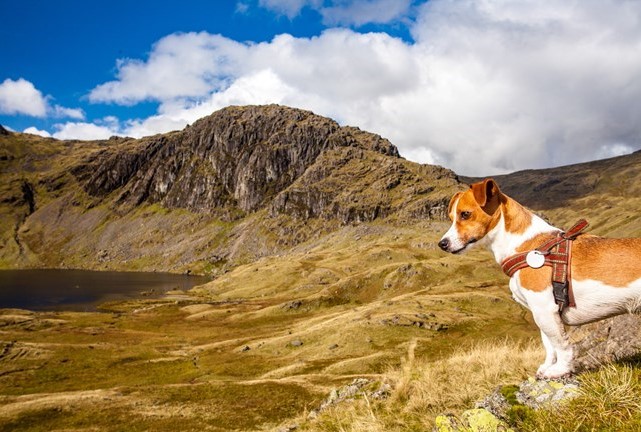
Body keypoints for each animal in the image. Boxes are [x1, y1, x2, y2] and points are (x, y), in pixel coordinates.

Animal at [438, 179, 640, 378]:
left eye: (465, 214)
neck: (526, 245)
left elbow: (561, 345)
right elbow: (549, 345)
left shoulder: (544, 308)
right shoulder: (541, 312)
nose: (442, 244)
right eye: (451, 218)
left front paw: (560, 369)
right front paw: (548, 366)